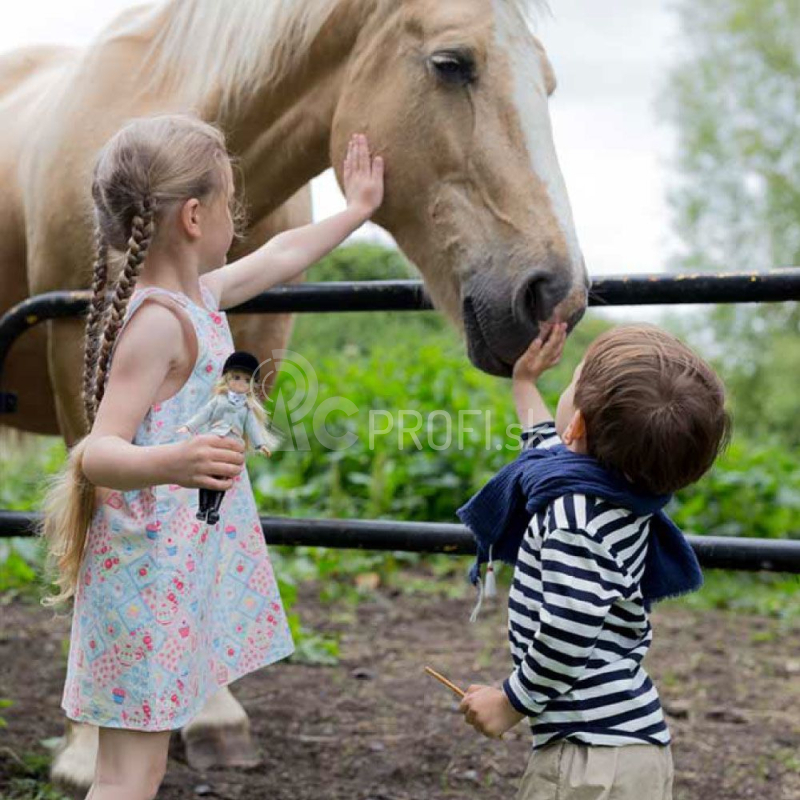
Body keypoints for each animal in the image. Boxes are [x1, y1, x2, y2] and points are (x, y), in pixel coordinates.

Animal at [0, 0, 588, 788]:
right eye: (451, 63)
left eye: (549, 83)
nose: (558, 297)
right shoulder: (79, 353)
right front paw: (85, 747)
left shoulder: (258, 345)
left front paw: (212, 716)